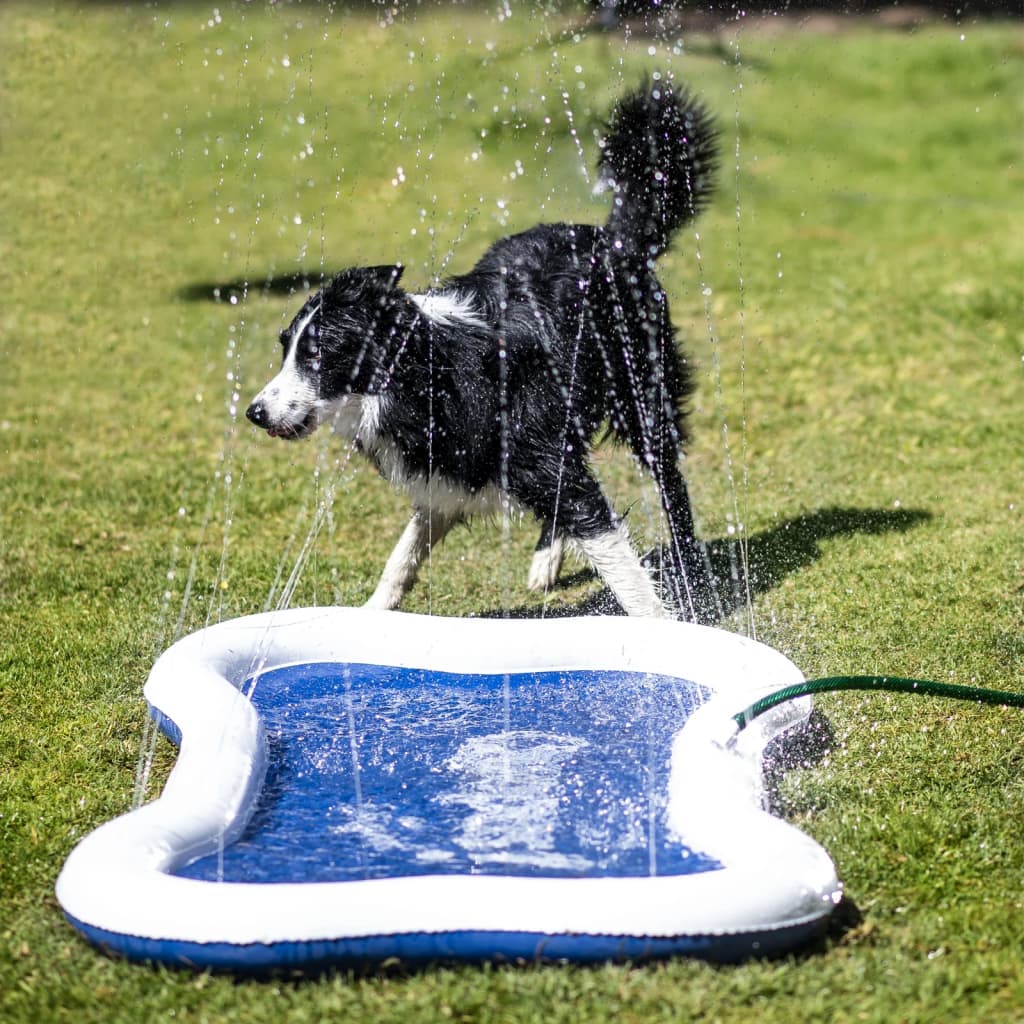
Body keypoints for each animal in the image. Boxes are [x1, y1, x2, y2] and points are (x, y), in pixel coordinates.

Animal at [243, 77, 716, 614]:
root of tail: (615, 237)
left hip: (640, 388)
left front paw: (665, 624)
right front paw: (369, 617)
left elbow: (622, 566)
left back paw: (691, 566)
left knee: (668, 477)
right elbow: (404, 553)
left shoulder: (530, 450)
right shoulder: (451, 471)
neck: (425, 373)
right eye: (285, 348)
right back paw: (546, 559)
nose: (254, 412)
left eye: (316, 354)